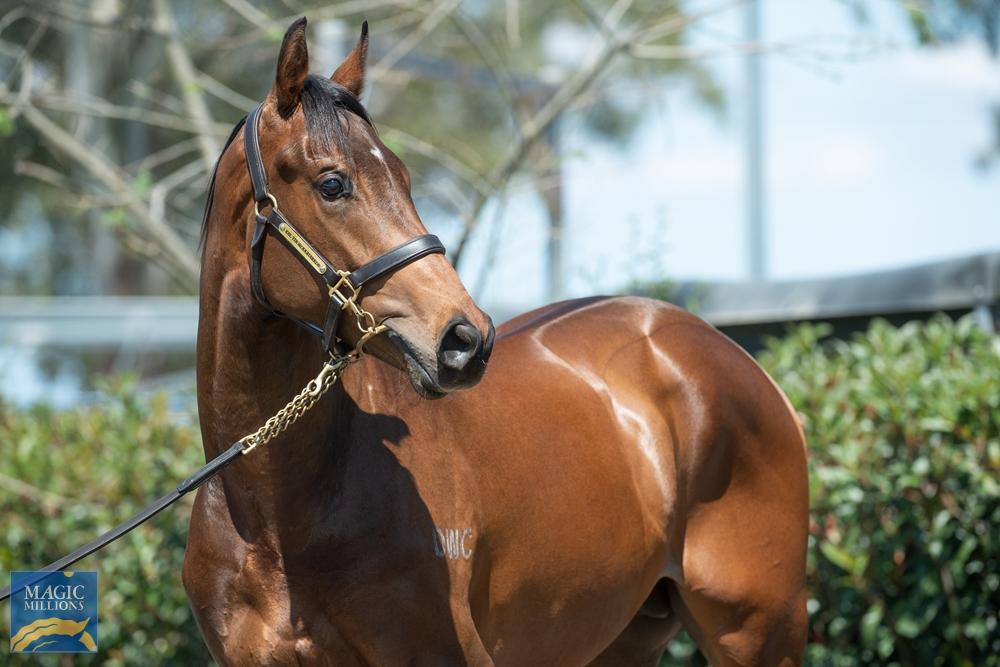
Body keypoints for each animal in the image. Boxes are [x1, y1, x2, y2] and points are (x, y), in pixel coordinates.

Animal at [185, 17, 809, 666]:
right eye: (332, 184)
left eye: (404, 177)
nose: (466, 339)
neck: (276, 516)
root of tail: (739, 362)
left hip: (759, 635)